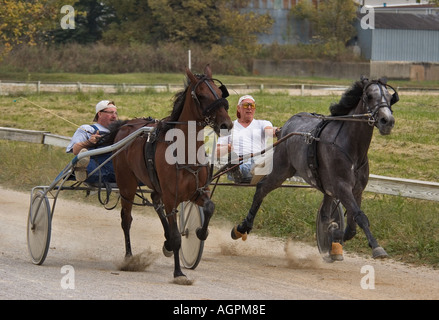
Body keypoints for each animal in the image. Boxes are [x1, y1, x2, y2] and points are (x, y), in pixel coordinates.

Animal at [109, 65, 232, 282]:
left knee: (155, 201)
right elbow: (176, 236)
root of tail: (125, 125)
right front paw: (178, 272)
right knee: (126, 219)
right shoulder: (171, 197)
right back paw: (129, 258)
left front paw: (200, 232)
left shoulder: (197, 192)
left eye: (219, 92)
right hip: (127, 185)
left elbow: (209, 207)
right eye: (202, 95)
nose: (226, 124)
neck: (185, 151)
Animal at [232, 77, 400, 260]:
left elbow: (350, 227)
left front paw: (334, 238)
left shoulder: (355, 190)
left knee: (325, 213)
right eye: (369, 96)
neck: (351, 148)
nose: (387, 121)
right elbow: (360, 217)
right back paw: (242, 227)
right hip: (282, 169)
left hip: (324, 187)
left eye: (390, 97)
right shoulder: (342, 186)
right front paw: (377, 248)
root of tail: (286, 125)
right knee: (262, 188)